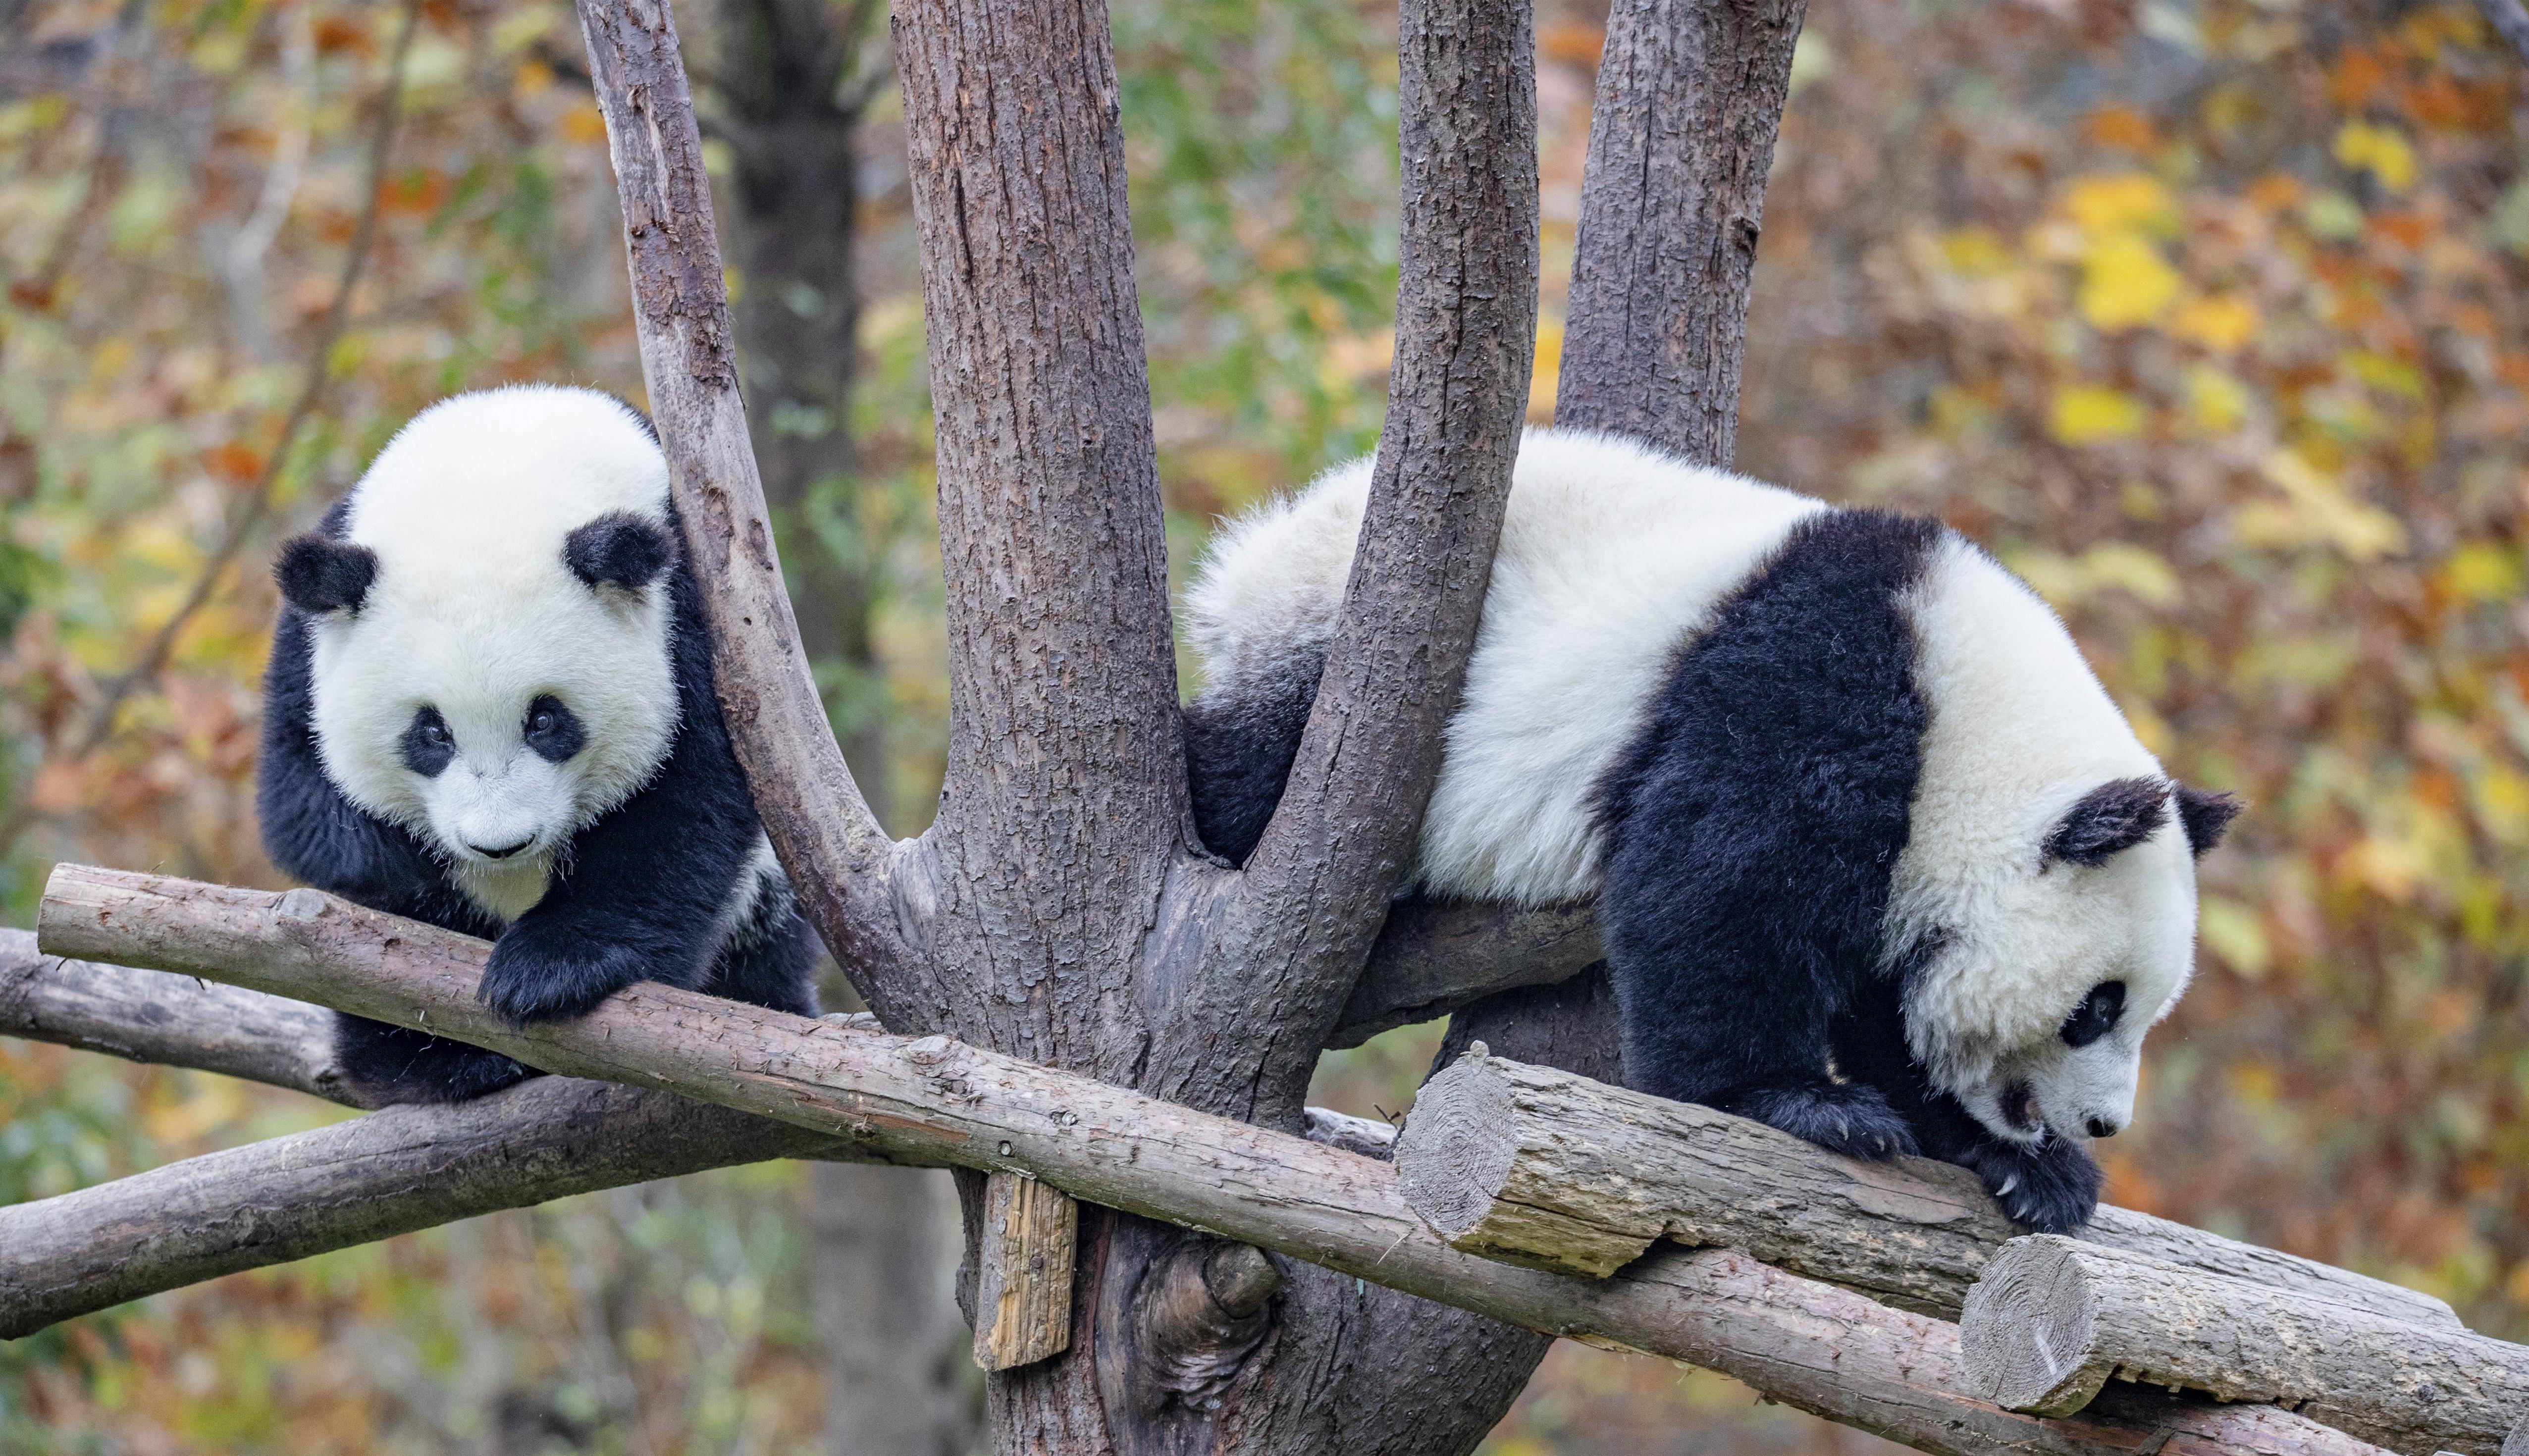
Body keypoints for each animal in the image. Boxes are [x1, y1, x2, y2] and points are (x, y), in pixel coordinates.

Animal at [255, 386, 814, 1102]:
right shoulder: (307, 644)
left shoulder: (695, 622)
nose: (500, 846)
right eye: (431, 733)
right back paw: (435, 1059)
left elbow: (687, 806)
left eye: (545, 721)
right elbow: (305, 804)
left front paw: (551, 970)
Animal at [1183, 427, 2235, 1233]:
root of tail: (1259, 553)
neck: (1971, 728)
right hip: (1348, 674)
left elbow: (1885, 1005)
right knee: (1251, 769)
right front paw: (1806, 1105)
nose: (2102, 1124)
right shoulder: (1814, 693)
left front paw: (2029, 1170)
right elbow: (1718, 889)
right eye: (2096, 1007)